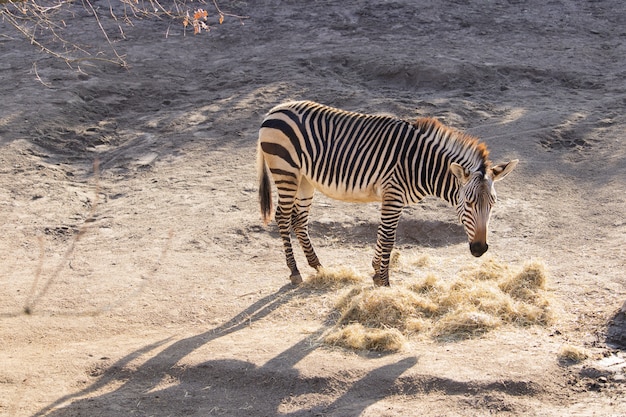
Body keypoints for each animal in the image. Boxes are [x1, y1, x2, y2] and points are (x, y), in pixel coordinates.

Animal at [255, 100, 516, 286]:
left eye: (492, 204)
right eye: (468, 203)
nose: (479, 249)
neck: (421, 165)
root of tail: (274, 110)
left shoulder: (391, 198)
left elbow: (382, 235)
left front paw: (374, 271)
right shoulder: (393, 194)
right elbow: (389, 238)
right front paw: (384, 282)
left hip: (305, 180)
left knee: (299, 219)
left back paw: (316, 265)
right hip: (286, 171)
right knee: (282, 217)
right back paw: (294, 271)